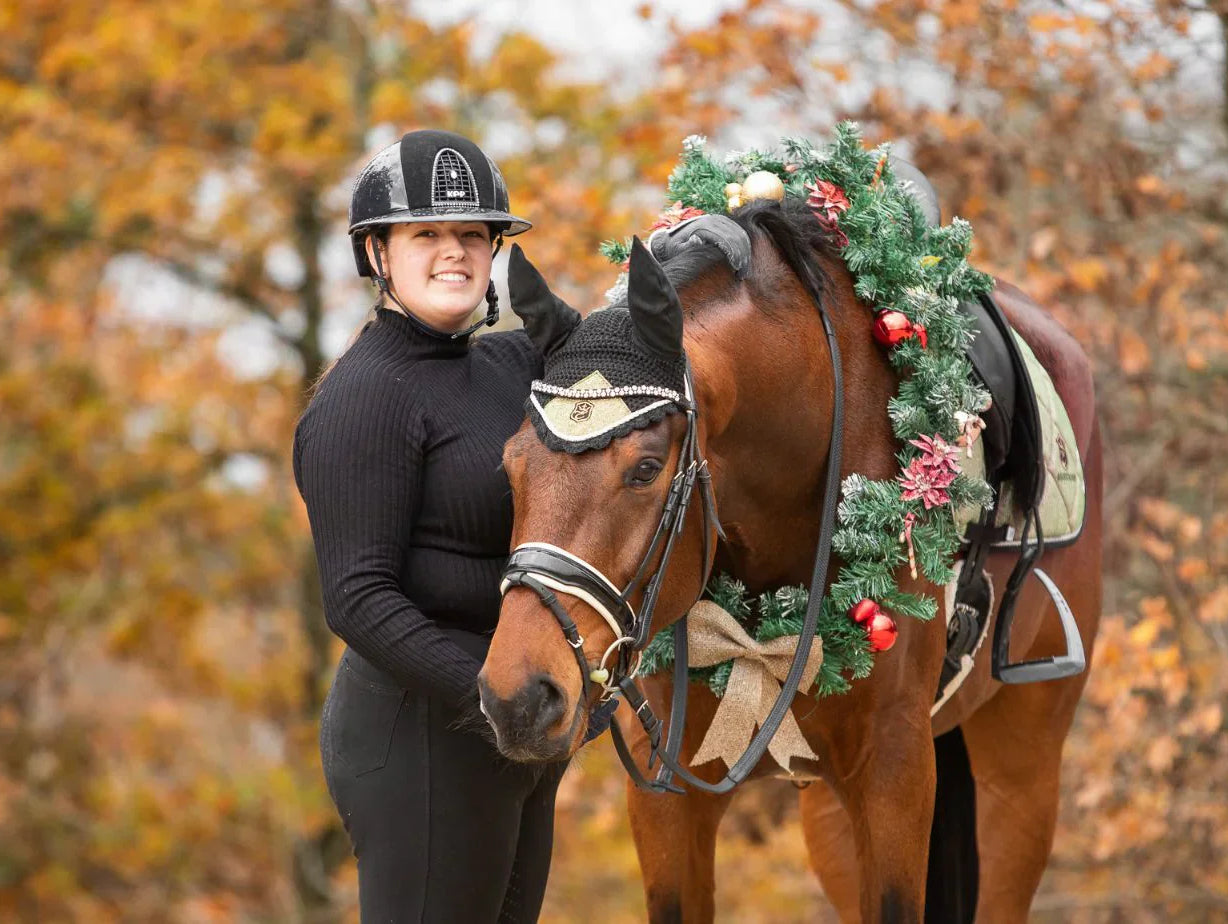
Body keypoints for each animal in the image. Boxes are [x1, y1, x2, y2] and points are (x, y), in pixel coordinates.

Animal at [477, 195, 1102, 923]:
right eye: (512, 464)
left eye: (646, 468)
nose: (518, 699)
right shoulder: (670, 794)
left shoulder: (895, 772)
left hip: (1019, 776)